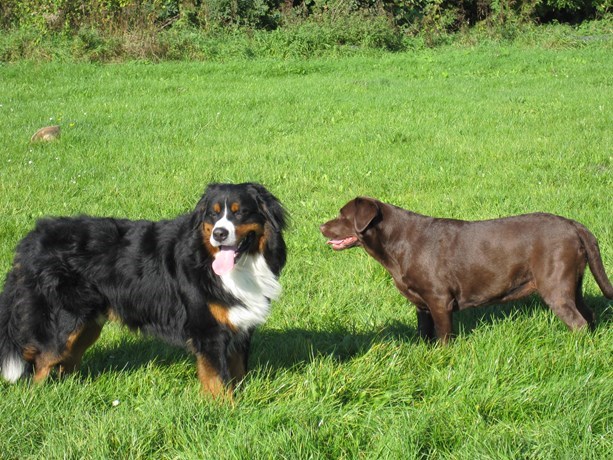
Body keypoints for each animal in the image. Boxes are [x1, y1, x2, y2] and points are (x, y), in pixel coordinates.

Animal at [0, 181, 286, 398]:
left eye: (239, 213)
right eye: (213, 215)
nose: (219, 234)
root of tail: (31, 240)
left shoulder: (240, 326)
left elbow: (237, 373)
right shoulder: (209, 331)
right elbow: (218, 380)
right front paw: (226, 409)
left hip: (87, 325)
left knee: (64, 362)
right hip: (63, 321)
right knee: (41, 362)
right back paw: (38, 398)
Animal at [320, 196, 612, 344]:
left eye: (342, 215)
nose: (320, 226)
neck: (396, 243)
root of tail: (574, 225)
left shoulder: (439, 300)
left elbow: (443, 337)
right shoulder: (422, 305)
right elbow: (424, 333)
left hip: (555, 285)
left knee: (578, 323)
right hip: (573, 283)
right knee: (588, 314)